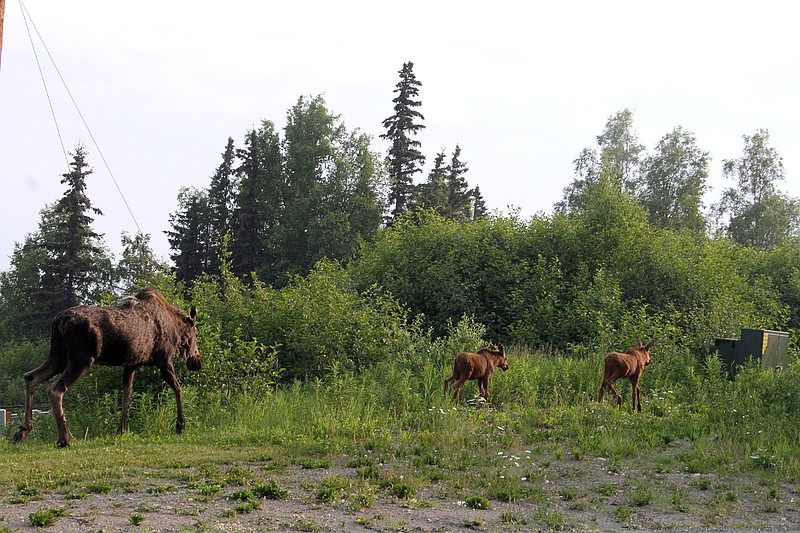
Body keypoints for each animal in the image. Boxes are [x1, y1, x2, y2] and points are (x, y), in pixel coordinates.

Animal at [12, 286, 202, 444]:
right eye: (196, 333)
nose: (197, 361)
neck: (176, 330)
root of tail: (59, 321)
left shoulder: (131, 364)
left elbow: (126, 397)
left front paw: (120, 431)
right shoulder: (164, 360)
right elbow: (178, 389)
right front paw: (180, 425)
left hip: (58, 356)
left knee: (31, 377)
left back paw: (23, 430)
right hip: (81, 360)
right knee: (54, 389)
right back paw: (63, 439)